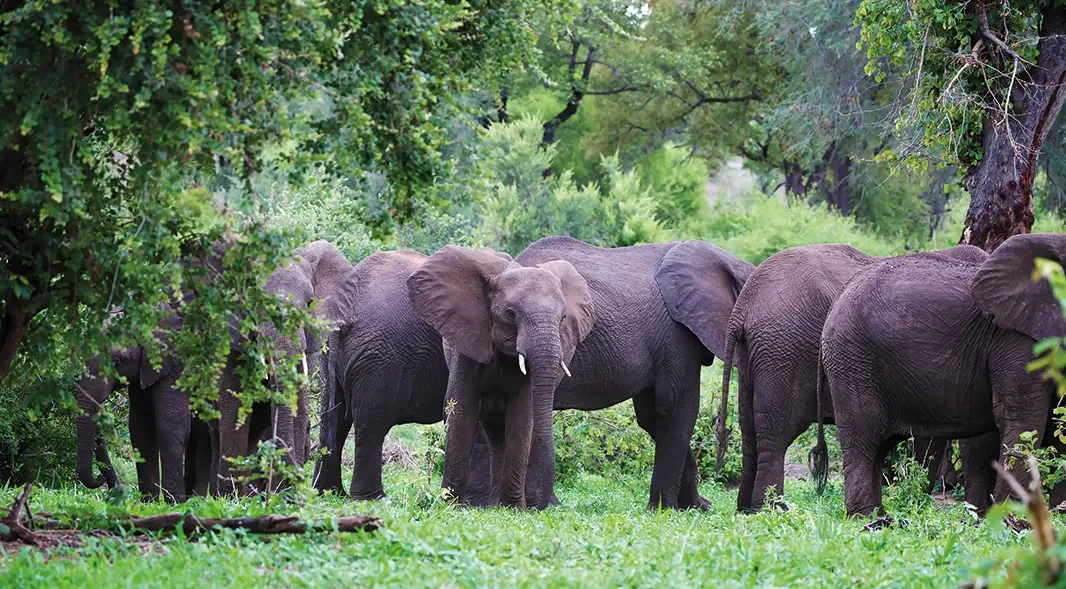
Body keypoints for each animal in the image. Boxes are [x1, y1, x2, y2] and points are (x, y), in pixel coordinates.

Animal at [718, 243, 989, 512]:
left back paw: (746, 509)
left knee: (749, 431)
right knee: (777, 434)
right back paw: (770, 509)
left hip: (755, 353)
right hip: (783, 349)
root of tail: (744, 305)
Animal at [814, 233, 1066, 517]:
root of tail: (837, 301)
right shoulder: (1015, 339)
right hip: (853, 359)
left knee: (879, 447)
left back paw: (882, 517)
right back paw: (867, 518)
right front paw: (1013, 518)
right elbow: (1022, 420)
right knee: (864, 440)